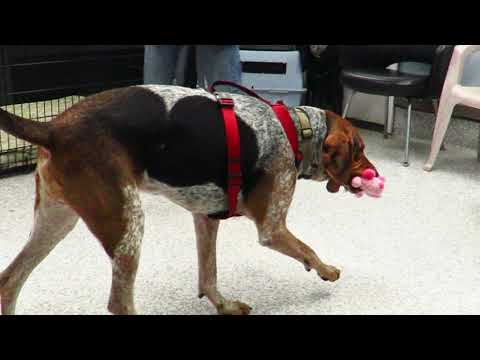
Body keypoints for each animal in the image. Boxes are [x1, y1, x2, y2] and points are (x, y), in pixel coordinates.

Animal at [0, 85, 378, 316]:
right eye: (359, 150)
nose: (374, 173)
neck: (295, 130)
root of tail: (53, 129)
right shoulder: (272, 228)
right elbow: (308, 249)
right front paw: (326, 270)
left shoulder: (206, 217)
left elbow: (208, 275)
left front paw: (223, 305)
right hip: (127, 226)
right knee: (118, 303)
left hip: (57, 220)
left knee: (9, 282)